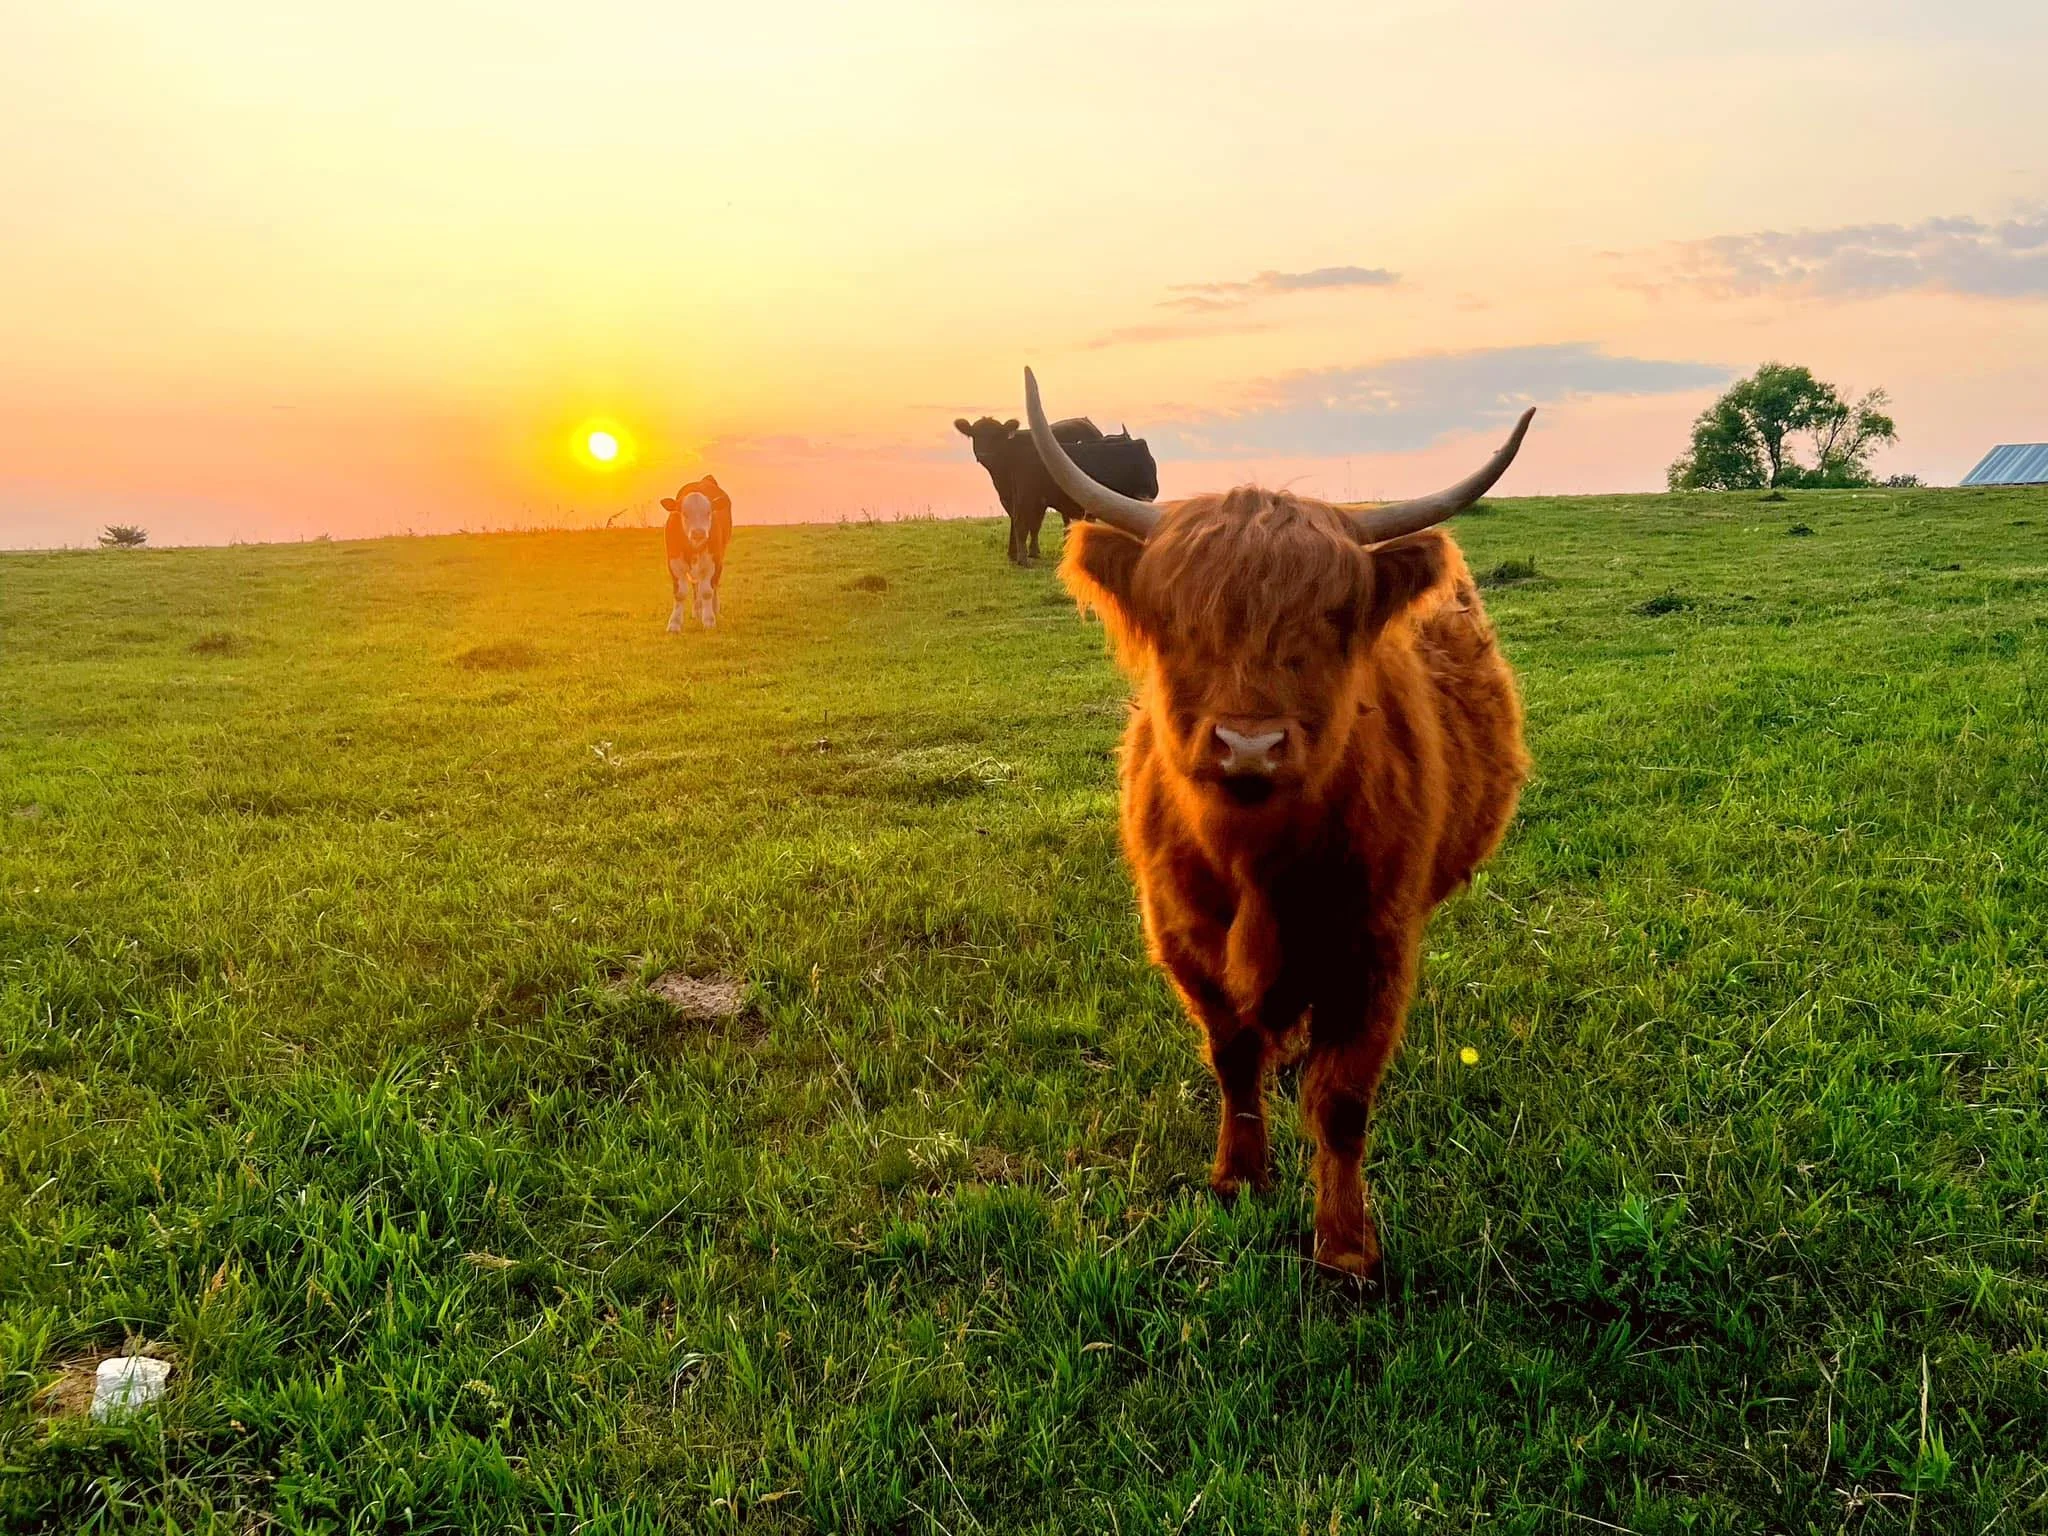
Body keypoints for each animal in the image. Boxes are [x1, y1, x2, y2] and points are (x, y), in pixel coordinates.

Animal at [661, 475, 733, 630]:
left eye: (708, 512)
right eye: (684, 513)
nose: (698, 533)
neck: (693, 547)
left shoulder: (712, 561)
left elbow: (707, 592)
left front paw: (709, 620)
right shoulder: (674, 562)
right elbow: (680, 593)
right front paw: (674, 624)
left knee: (713, 585)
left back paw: (714, 609)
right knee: (695, 586)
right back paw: (697, 611)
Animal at [1024, 368, 1533, 1284]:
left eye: (1331, 622)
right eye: (1180, 623)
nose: (1250, 744)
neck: (1254, 863)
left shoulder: (1375, 949)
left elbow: (1343, 1103)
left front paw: (1345, 1247)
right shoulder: (1181, 938)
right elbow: (1232, 1061)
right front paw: (1239, 1179)